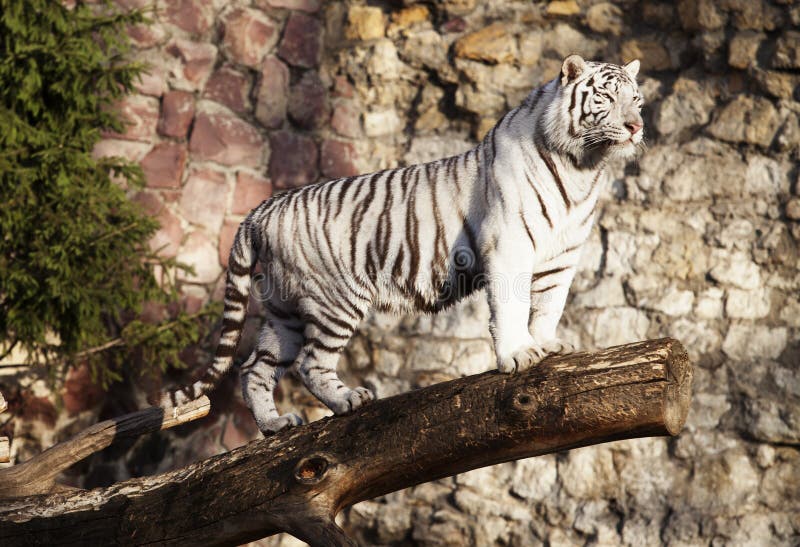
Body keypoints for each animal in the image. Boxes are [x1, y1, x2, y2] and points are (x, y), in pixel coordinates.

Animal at [162, 55, 645, 434]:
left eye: (637, 100)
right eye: (605, 97)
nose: (637, 126)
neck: (582, 168)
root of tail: (264, 207)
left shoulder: (562, 256)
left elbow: (549, 305)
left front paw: (547, 345)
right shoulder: (509, 245)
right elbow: (511, 306)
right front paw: (517, 355)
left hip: (284, 309)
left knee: (256, 368)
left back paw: (275, 424)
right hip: (335, 300)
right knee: (310, 364)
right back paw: (348, 400)